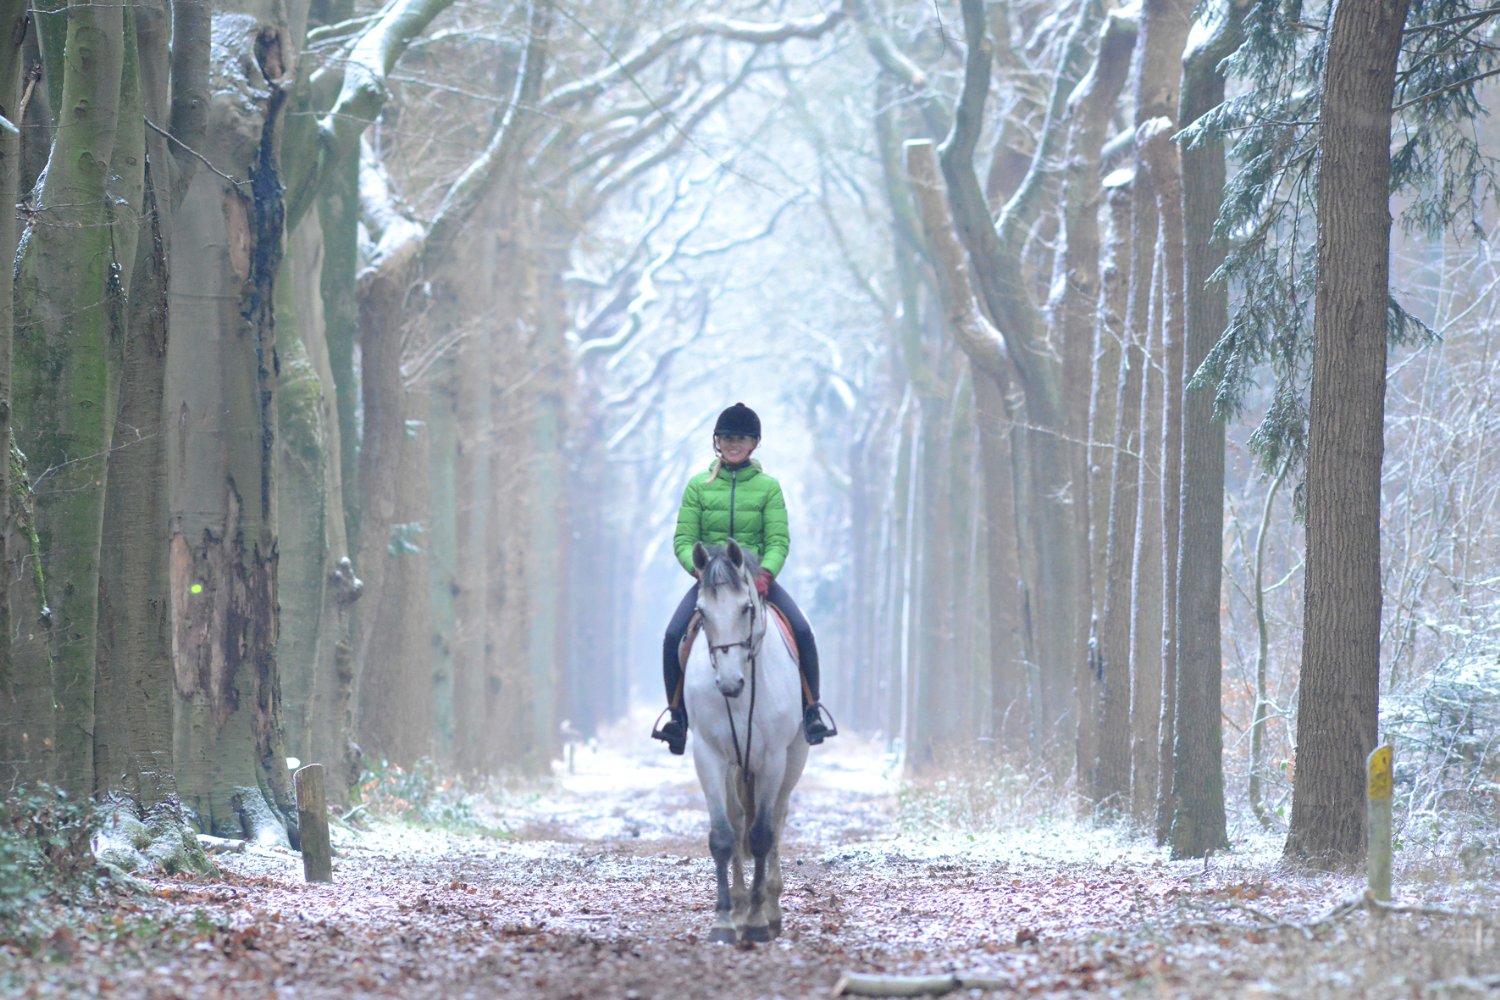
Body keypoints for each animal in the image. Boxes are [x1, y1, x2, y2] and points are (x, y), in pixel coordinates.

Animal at [687, 542, 810, 941]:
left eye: (746, 607)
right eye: (702, 611)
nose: (729, 684)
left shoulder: (772, 759)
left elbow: (762, 836)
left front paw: (757, 922)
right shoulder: (709, 756)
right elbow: (724, 836)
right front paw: (725, 921)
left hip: (793, 759)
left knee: (777, 820)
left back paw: (770, 909)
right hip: (734, 767)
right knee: (739, 819)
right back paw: (741, 907)